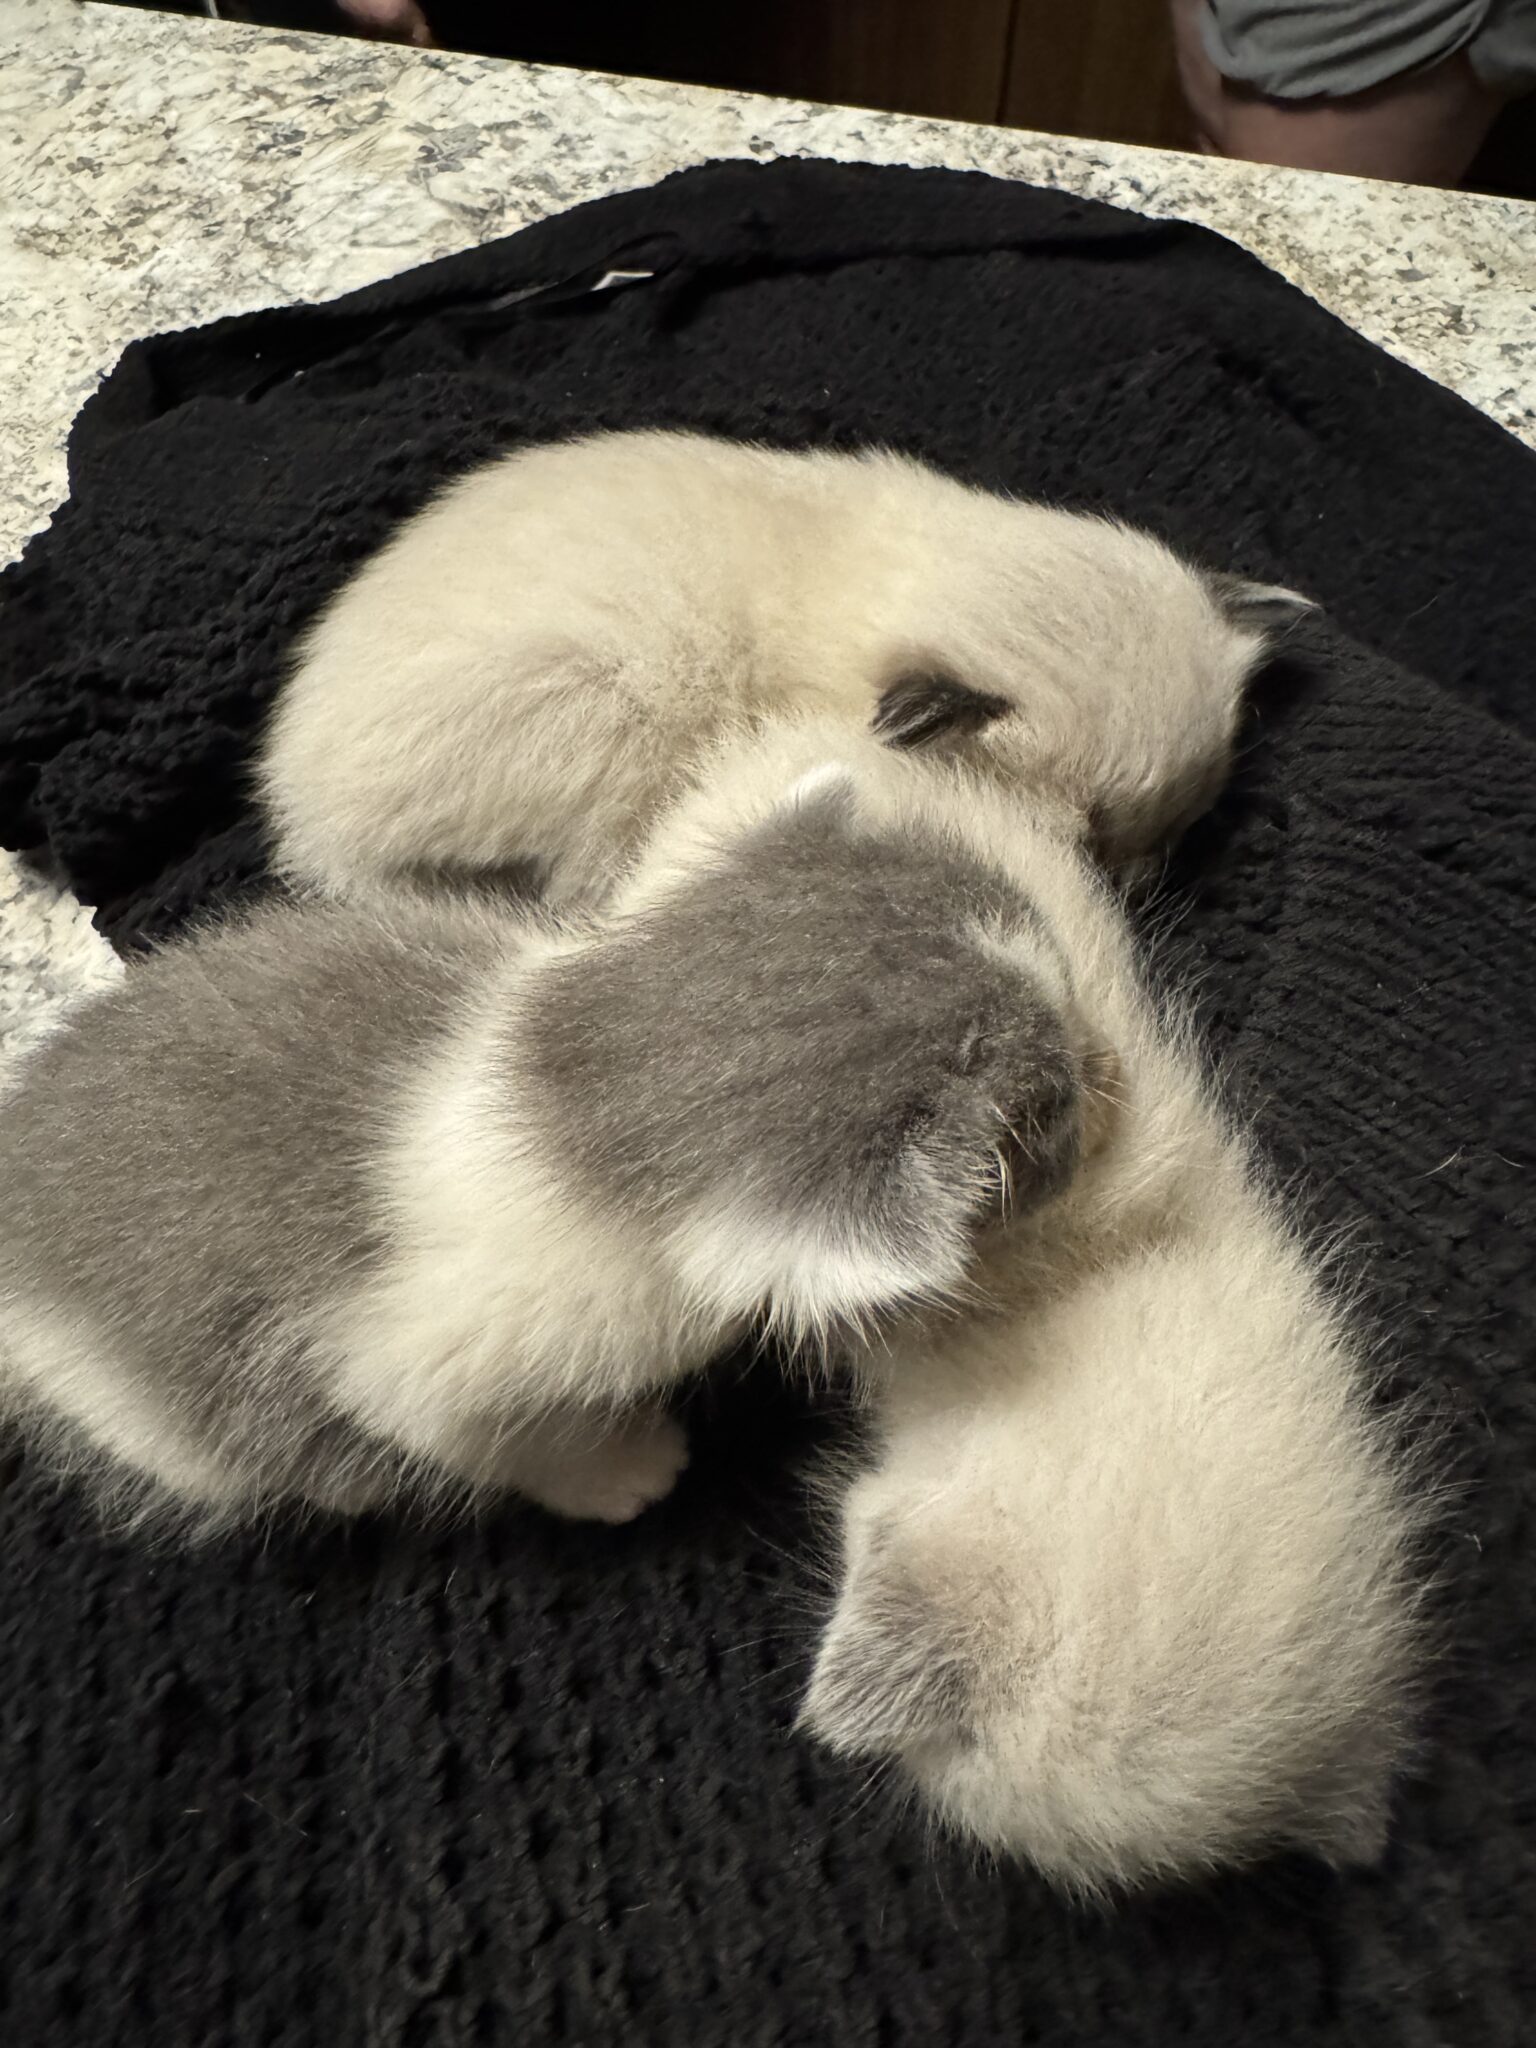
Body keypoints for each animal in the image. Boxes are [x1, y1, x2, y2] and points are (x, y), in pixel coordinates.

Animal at [0, 726, 1101, 1529]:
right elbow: (501, 1439)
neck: (564, 1096)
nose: (1101, 1071)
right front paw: (622, 1471)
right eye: (1043, 1118)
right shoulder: (413, 1362)